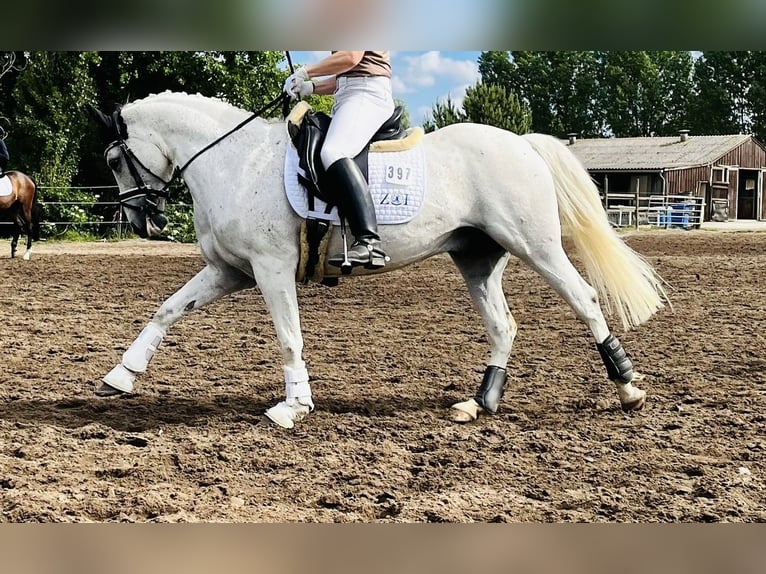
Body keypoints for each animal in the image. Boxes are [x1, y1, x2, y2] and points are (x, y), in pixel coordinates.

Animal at [87, 92, 668, 430]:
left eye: (114, 158)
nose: (142, 223)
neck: (234, 160)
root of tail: (522, 144)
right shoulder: (230, 271)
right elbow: (167, 310)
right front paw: (121, 376)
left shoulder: (271, 270)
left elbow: (289, 337)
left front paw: (293, 407)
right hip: (477, 259)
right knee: (504, 326)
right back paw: (478, 402)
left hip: (537, 247)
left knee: (585, 300)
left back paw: (629, 389)